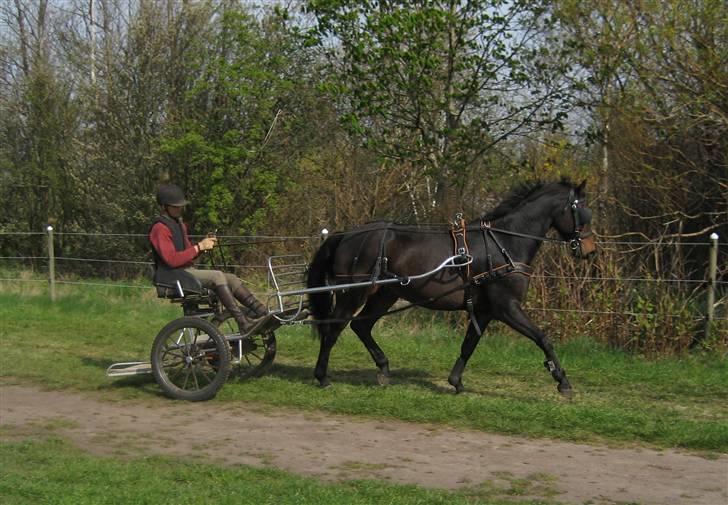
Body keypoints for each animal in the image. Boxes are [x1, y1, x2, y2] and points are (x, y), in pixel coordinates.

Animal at [304, 179, 596, 396]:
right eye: (581, 210)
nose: (590, 250)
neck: (505, 244)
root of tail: (345, 235)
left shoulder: (485, 311)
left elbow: (469, 345)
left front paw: (456, 381)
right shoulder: (507, 307)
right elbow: (543, 338)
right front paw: (562, 381)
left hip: (385, 294)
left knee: (361, 326)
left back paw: (384, 369)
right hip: (353, 292)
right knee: (334, 329)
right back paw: (322, 376)